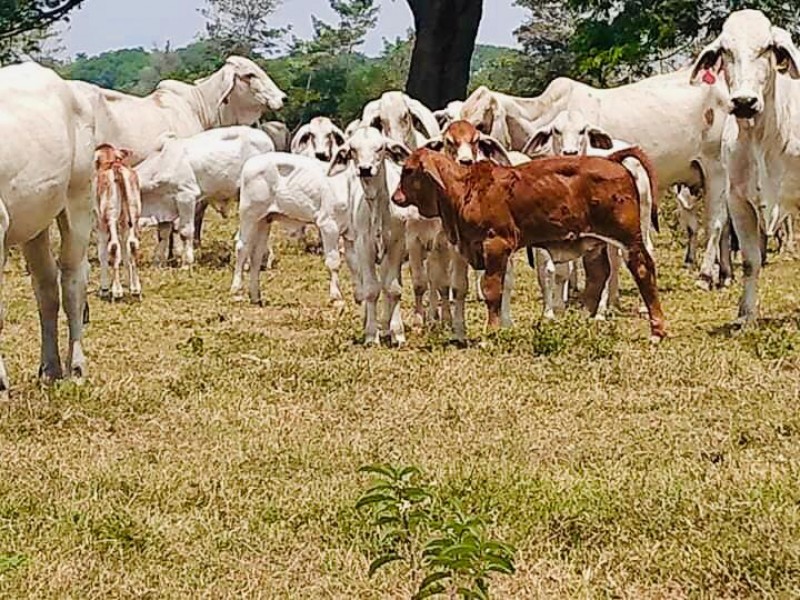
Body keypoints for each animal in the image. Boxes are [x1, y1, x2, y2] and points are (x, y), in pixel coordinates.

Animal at [0, 62, 94, 390]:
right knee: (46, 288)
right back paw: (50, 367)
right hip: (35, 224)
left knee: (72, 281)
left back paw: (76, 366)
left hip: (78, 199)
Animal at [136, 126, 276, 264]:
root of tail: (267, 140)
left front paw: (187, 262)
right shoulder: (164, 207)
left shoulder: (186, 196)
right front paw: (158, 262)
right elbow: (163, 234)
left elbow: (185, 232)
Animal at [231, 152, 356, 308]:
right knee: (242, 248)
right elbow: (333, 262)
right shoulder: (329, 225)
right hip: (249, 214)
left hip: (264, 220)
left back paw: (255, 296)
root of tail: (251, 162)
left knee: (256, 254)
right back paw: (236, 289)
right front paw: (336, 297)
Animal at [390, 148, 664, 340]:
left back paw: (657, 330)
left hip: (629, 238)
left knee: (642, 269)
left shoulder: (496, 245)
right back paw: (583, 321)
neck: (466, 190)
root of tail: (612, 159)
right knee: (598, 276)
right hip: (595, 243)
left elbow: (492, 290)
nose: (395, 197)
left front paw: (492, 332)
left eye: (409, 170)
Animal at [688, 9, 800, 326]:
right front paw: (746, 315)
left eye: (766, 48)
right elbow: (750, 262)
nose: (744, 102)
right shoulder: (738, 201)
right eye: (726, 50)